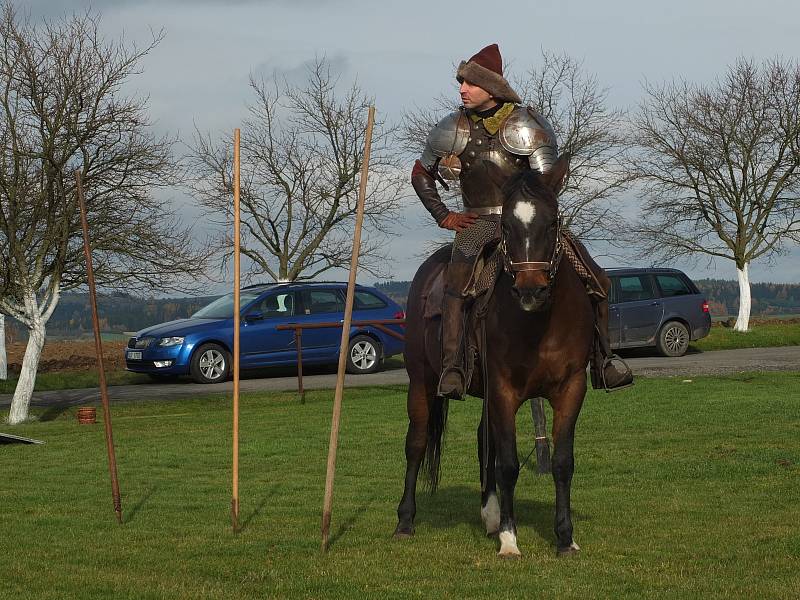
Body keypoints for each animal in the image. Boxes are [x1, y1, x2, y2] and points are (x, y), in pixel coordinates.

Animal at [394, 156, 600, 556]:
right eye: (505, 225)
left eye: (553, 222)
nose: (531, 290)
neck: (539, 325)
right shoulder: (504, 390)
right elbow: (508, 464)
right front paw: (509, 539)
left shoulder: (571, 388)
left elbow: (562, 462)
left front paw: (565, 538)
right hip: (421, 381)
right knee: (417, 443)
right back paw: (405, 521)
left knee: (481, 440)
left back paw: (488, 514)